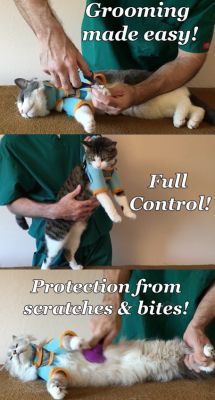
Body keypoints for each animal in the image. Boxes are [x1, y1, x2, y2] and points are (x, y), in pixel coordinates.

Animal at [5, 332, 215, 400]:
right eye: (10, 358)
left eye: (14, 347)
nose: (14, 353)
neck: (40, 359)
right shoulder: (58, 373)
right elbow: (52, 384)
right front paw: (58, 393)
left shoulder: (57, 342)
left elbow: (68, 341)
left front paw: (79, 343)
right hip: (172, 364)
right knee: (198, 364)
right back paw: (208, 362)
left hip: (169, 349)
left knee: (192, 350)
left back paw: (208, 351)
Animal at [14, 69, 215, 134]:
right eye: (20, 106)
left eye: (22, 98)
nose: (22, 113)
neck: (58, 94)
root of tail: (185, 88)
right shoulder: (74, 105)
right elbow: (83, 110)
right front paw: (90, 124)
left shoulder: (86, 81)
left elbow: (97, 87)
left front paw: (103, 91)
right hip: (169, 106)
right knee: (197, 109)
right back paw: (191, 122)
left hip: (170, 95)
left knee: (185, 104)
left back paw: (180, 119)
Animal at [15, 136, 135, 270]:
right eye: (92, 158)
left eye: (103, 158)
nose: (98, 165)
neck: (105, 171)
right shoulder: (93, 185)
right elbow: (107, 200)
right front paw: (115, 216)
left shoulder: (114, 179)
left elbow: (121, 196)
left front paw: (129, 213)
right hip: (56, 238)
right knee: (48, 256)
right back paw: (45, 268)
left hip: (75, 237)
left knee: (67, 251)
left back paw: (75, 266)